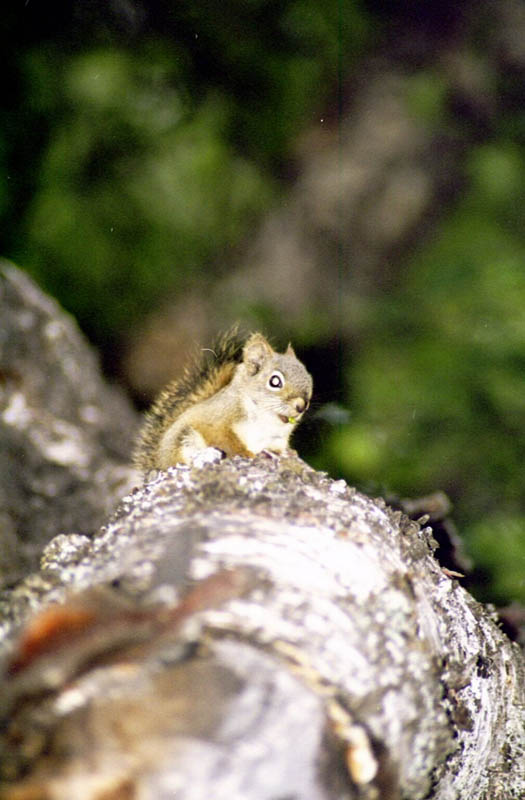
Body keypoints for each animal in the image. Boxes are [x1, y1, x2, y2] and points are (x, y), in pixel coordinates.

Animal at [133, 327, 313, 474]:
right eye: (275, 381)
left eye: (309, 378)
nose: (301, 406)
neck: (267, 419)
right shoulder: (217, 420)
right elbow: (224, 439)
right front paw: (247, 454)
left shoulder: (277, 439)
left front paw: (290, 453)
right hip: (184, 440)